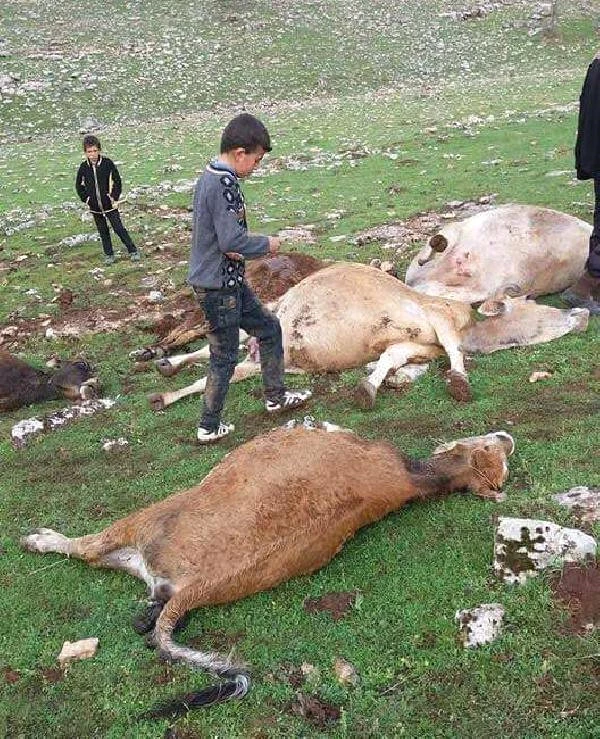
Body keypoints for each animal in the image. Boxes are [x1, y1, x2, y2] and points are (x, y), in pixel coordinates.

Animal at [21, 424, 512, 720]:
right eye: (493, 453)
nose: (507, 437)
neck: (414, 477)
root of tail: (195, 588)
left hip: (145, 520)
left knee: (87, 551)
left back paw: (40, 538)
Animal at [148, 262, 588, 410]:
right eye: (534, 305)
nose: (581, 313)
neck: (470, 325)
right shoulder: (439, 316)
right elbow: (451, 347)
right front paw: (461, 381)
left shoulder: (414, 343)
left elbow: (393, 357)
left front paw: (369, 386)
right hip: (267, 318)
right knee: (219, 349)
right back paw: (167, 368)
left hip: (268, 352)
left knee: (223, 364)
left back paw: (166, 385)